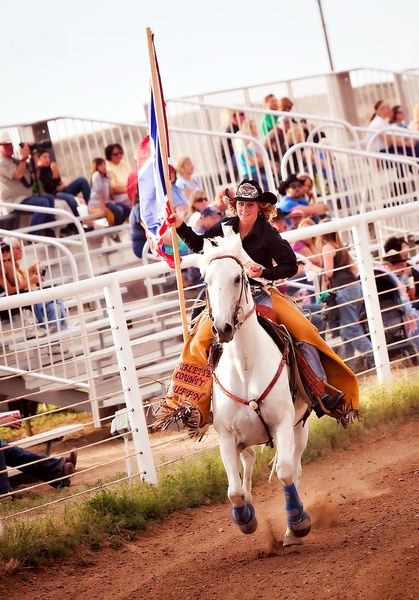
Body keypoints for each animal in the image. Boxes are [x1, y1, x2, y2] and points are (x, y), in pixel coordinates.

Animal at [202, 237, 314, 548]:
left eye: (237, 277)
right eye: (207, 280)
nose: (222, 327)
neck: (245, 367)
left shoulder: (283, 424)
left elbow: (286, 472)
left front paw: (298, 524)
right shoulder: (227, 437)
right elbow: (234, 491)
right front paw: (246, 519)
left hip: (300, 428)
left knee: (295, 470)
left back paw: (290, 532)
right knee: (248, 461)